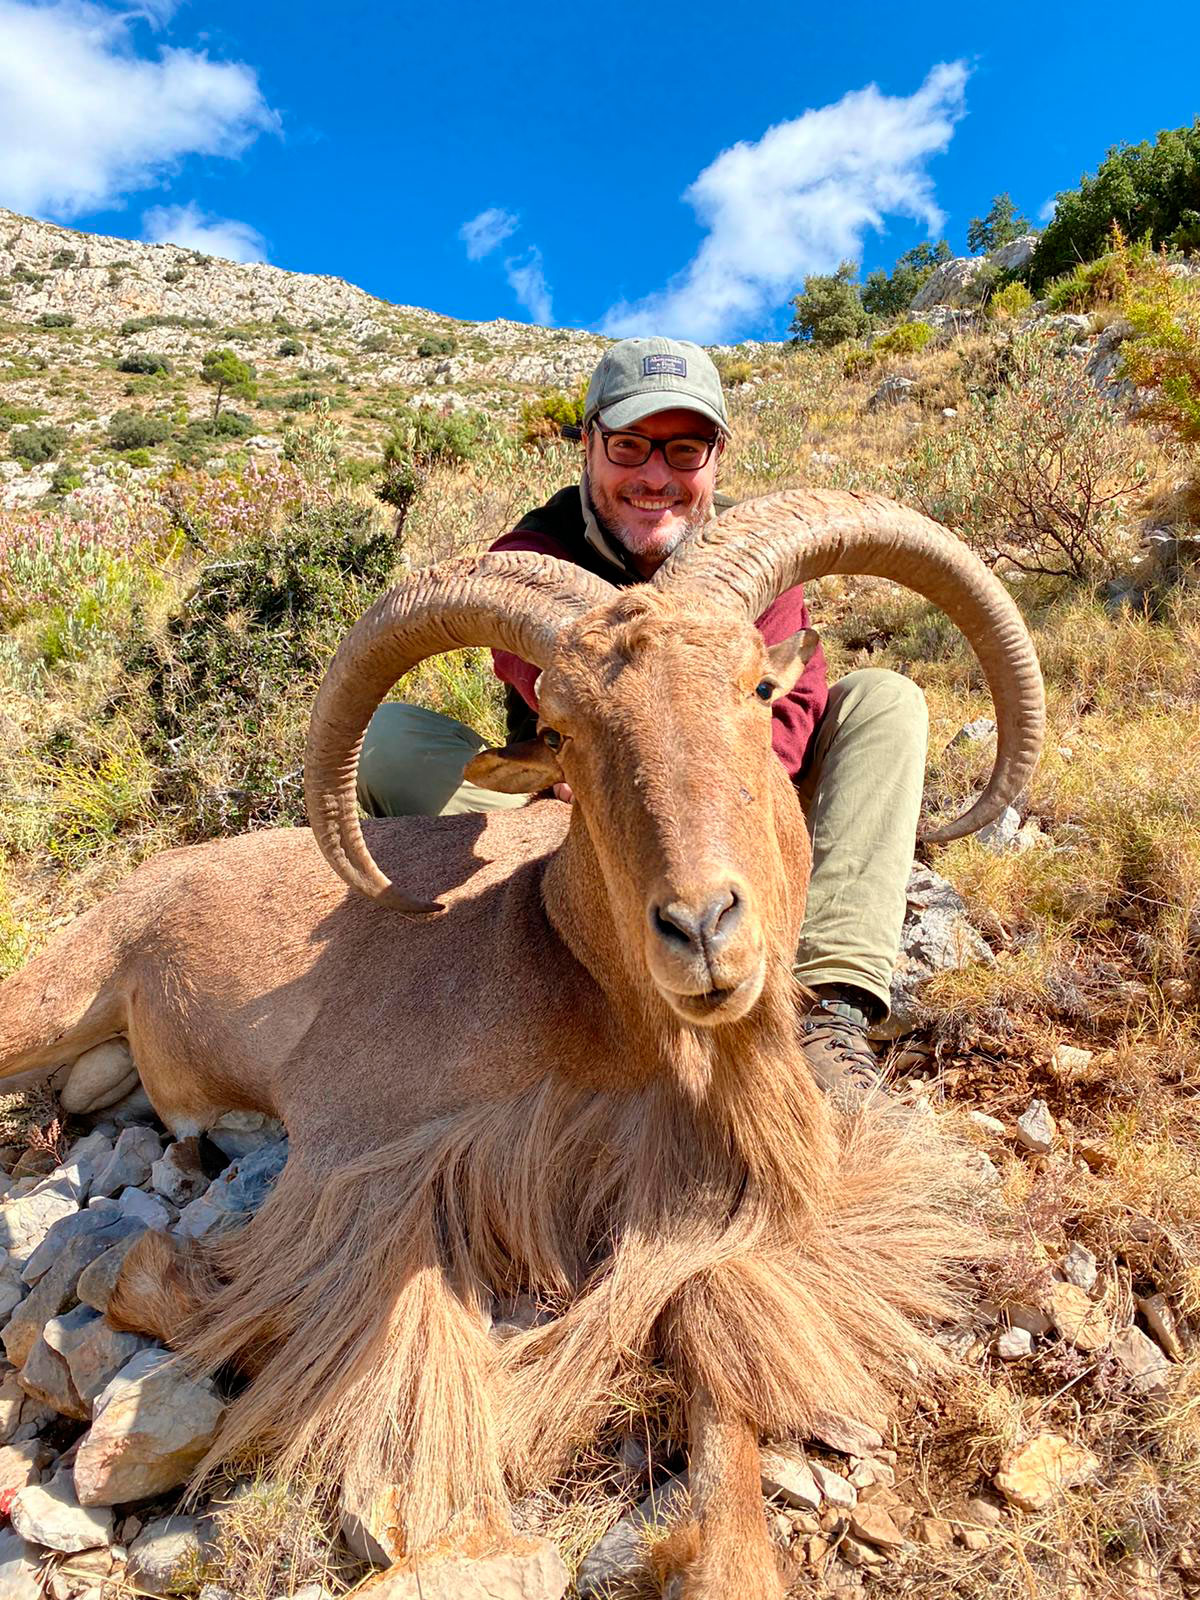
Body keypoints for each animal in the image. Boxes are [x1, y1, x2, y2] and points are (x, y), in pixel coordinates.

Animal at [0, 489, 1043, 1600]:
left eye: (759, 688)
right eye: (565, 729)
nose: (703, 927)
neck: (578, 982)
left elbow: (706, 1317)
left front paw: (726, 1554)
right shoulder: (362, 1151)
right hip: (56, 990)